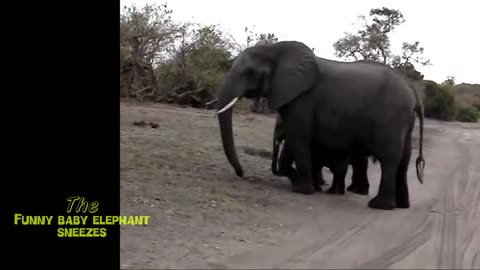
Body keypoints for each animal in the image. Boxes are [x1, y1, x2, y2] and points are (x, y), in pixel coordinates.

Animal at [216, 40, 426, 210]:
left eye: (250, 73)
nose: (241, 174)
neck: (276, 49)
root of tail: (413, 92)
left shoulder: (303, 100)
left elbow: (298, 137)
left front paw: (302, 190)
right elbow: (296, 140)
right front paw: (303, 184)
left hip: (392, 117)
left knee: (389, 158)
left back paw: (379, 206)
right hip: (405, 121)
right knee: (404, 160)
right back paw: (401, 205)